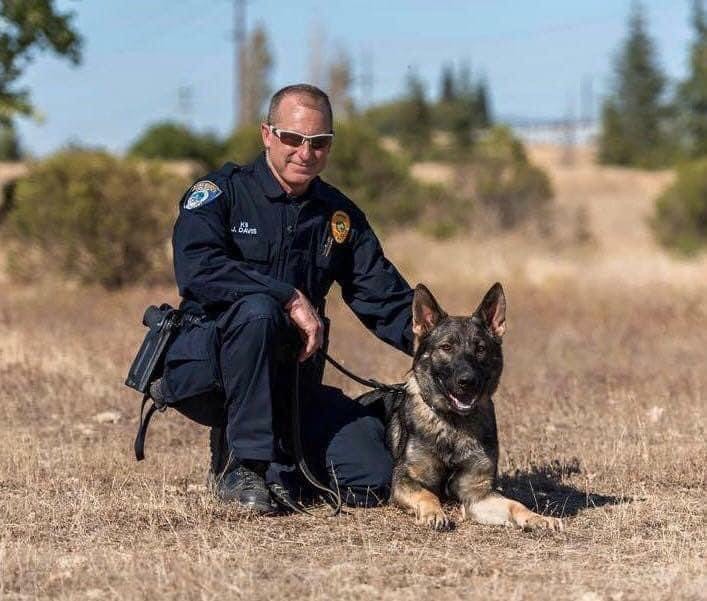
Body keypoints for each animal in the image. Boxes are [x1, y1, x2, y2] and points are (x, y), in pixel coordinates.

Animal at [382, 282, 564, 528]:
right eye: (446, 347)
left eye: (480, 348)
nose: (467, 381)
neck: (453, 424)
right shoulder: (404, 480)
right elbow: (427, 494)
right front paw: (434, 514)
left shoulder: (478, 494)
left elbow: (515, 504)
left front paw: (537, 518)